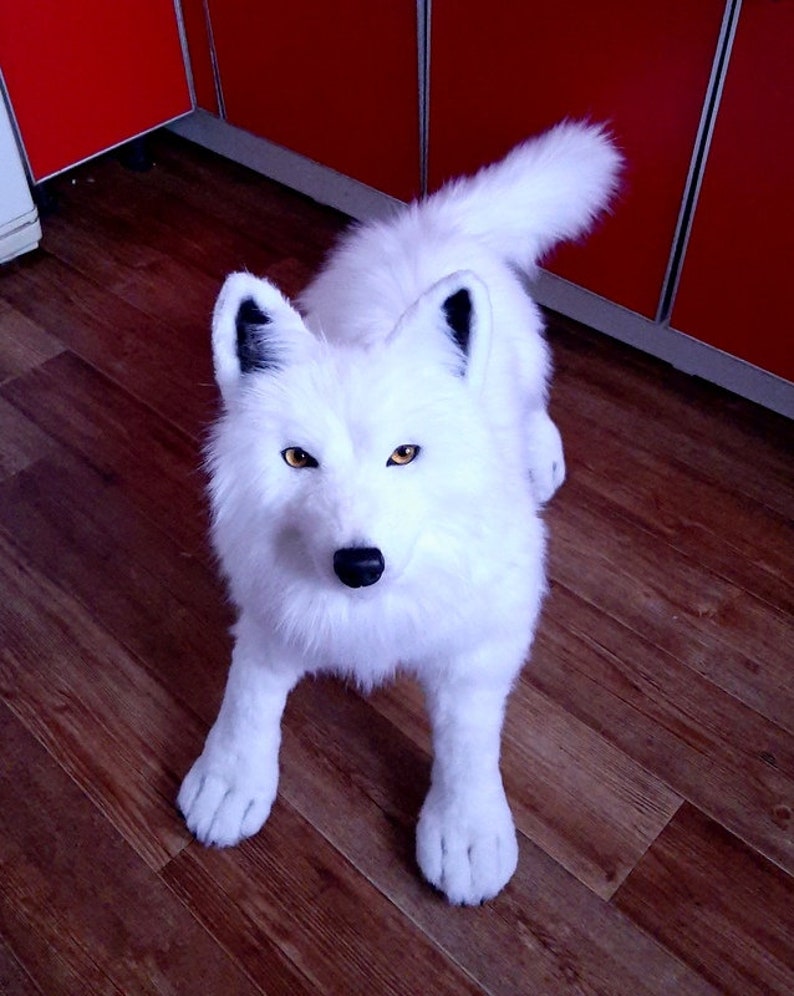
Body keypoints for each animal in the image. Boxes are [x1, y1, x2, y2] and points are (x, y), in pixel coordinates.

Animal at [177, 121, 621, 905]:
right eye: (298, 459)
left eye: (405, 455)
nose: (359, 565)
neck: (367, 612)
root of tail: (434, 222)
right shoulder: (273, 614)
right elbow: (248, 696)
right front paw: (230, 779)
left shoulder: (484, 644)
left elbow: (467, 740)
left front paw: (467, 830)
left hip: (519, 369)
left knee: (536, 403)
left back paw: (539, 459)